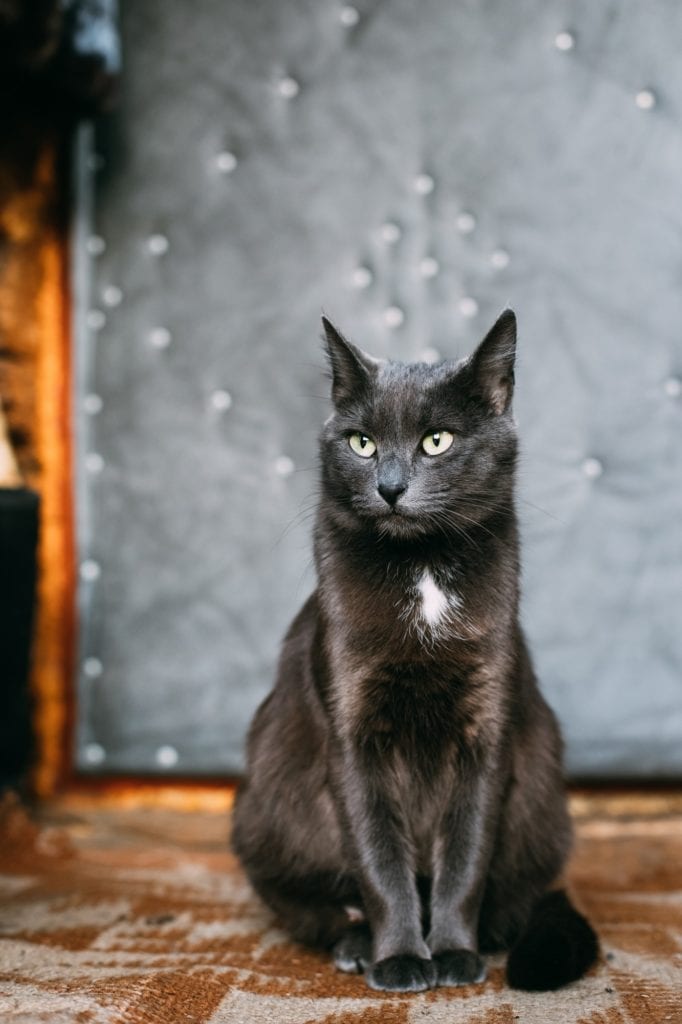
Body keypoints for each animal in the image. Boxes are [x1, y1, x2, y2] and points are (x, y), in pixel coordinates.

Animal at [232, 311, 593, 991]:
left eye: (437, 441)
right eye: (361, 443)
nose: (391, 486)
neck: (421, 568)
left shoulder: (488, 733)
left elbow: (465, 859)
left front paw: (452, 952)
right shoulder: (351, 738)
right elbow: (380, 862)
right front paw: (399, 956)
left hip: (544, 818)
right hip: (265, 815)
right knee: (312, 905)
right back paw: (355, 944)